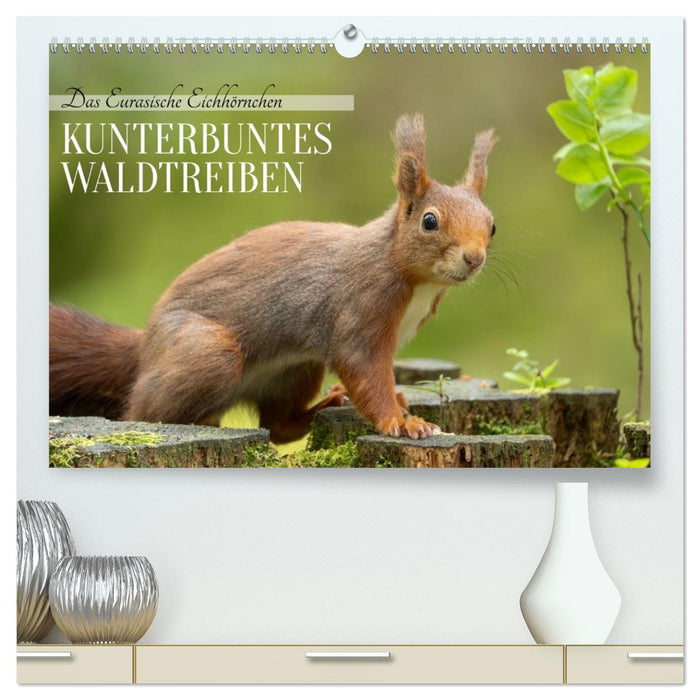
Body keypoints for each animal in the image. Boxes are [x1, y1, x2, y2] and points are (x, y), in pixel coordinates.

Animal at [50, 114, 497, 443]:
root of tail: (146, 349)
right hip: (205, 353)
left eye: (492, 226)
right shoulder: (361, 305)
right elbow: (364, 369)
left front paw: (399, 402)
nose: (474, 258)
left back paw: (326, 405)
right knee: (141, 413)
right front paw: (401, 421)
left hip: (295, 369)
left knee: (279, 427)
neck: (409, 274)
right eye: (429, 221)